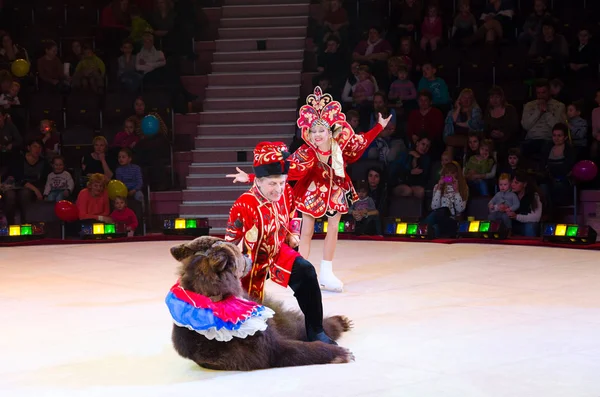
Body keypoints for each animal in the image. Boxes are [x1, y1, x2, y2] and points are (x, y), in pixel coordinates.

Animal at [166, 234, 354, 370]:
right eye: (237, 253)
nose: (248, 255)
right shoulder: (258, 347)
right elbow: (293, 349)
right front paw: (340, 353)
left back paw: (339, 322)